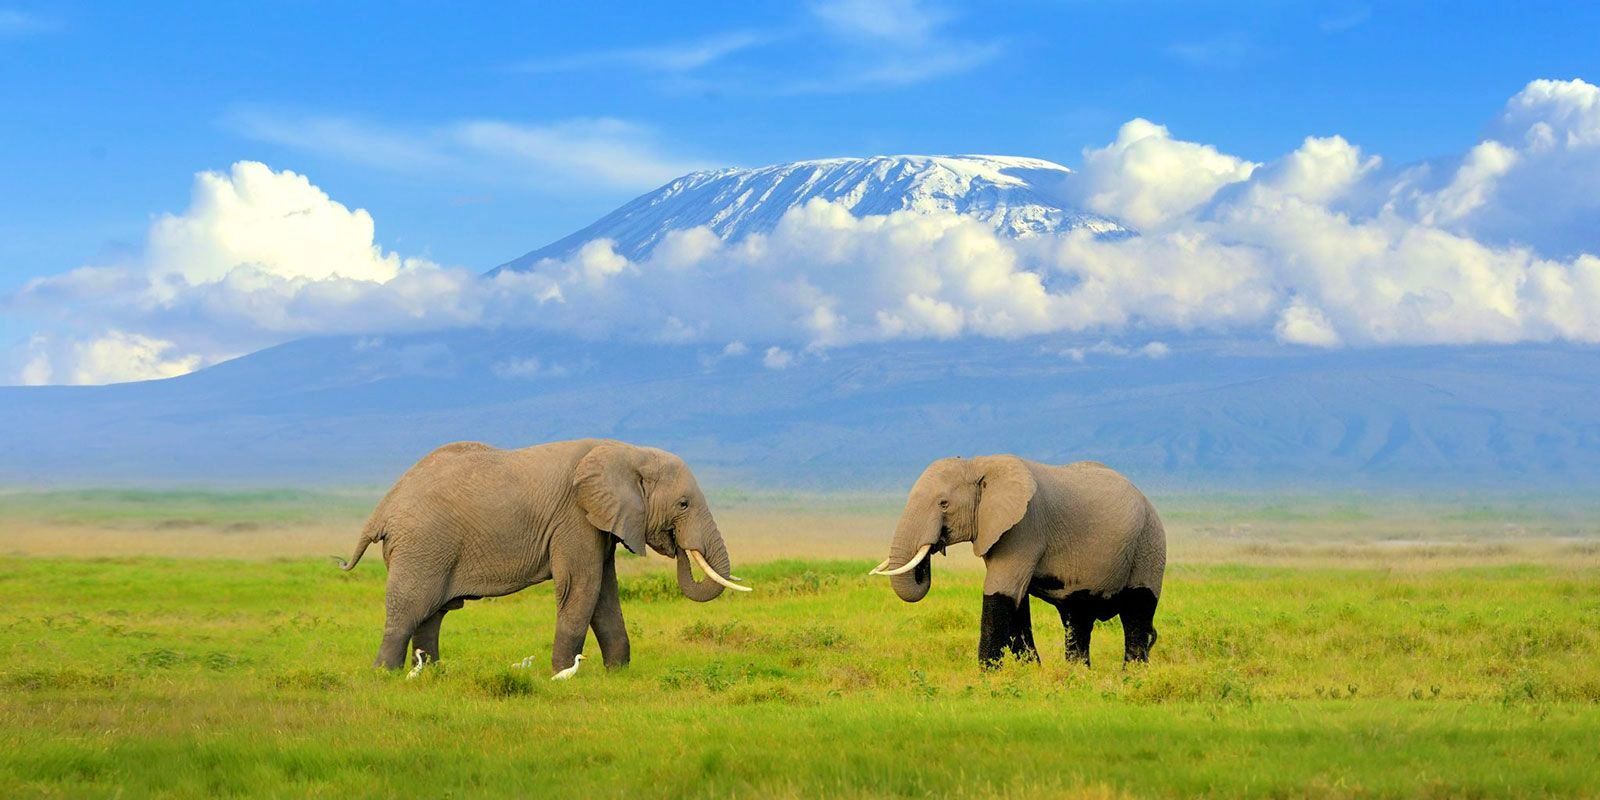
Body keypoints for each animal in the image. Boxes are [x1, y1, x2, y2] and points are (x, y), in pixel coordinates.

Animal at [337, 438, 750, 672]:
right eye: (683, 504)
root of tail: (383, 507)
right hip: (422, 545)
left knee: (432, 614)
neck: (628, 451)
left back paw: (434, 673)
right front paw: (562, 674)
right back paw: (385, 675)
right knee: (409, 609)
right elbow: (581, 587)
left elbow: (604, 593)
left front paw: (618, 673)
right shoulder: (574, 518)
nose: (677, 544)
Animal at [871, 456, 1165, 668]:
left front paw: (988, 676)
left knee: (1137, 611)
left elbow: (1001, 592)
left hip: (1149, 544)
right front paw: (1031, 671)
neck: (979, 464)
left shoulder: (1024, 528)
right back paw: (1078, 675)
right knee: (1077, 619)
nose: (933, 547)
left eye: (943, 504)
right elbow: (1016, 602)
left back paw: (1132, 676)